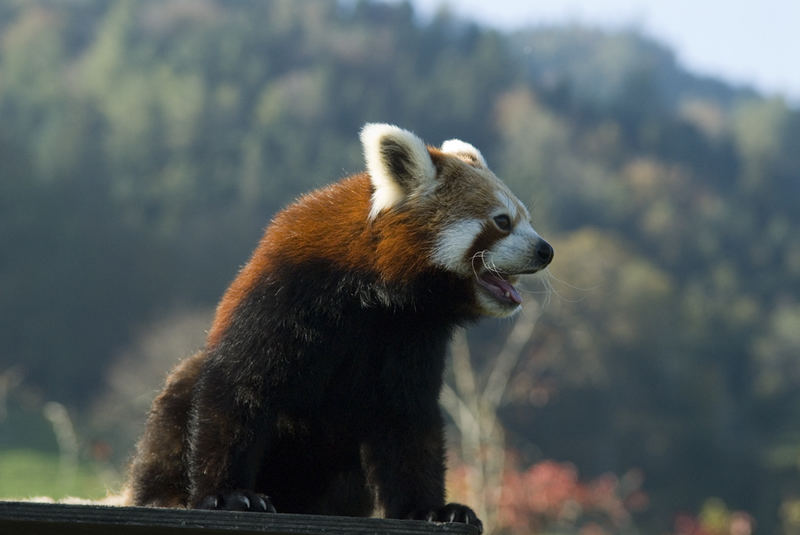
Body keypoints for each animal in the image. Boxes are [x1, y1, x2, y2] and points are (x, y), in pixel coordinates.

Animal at [123, 124, 552, 532]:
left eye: (528, 220)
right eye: (502, 222)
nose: (545, 250)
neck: (379, 297)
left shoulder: (413, 335)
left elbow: (408, 420)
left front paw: (431, 509)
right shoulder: (287, 291)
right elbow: (240, 387)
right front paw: (229, 495)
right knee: (184, 390)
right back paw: (165, 496)